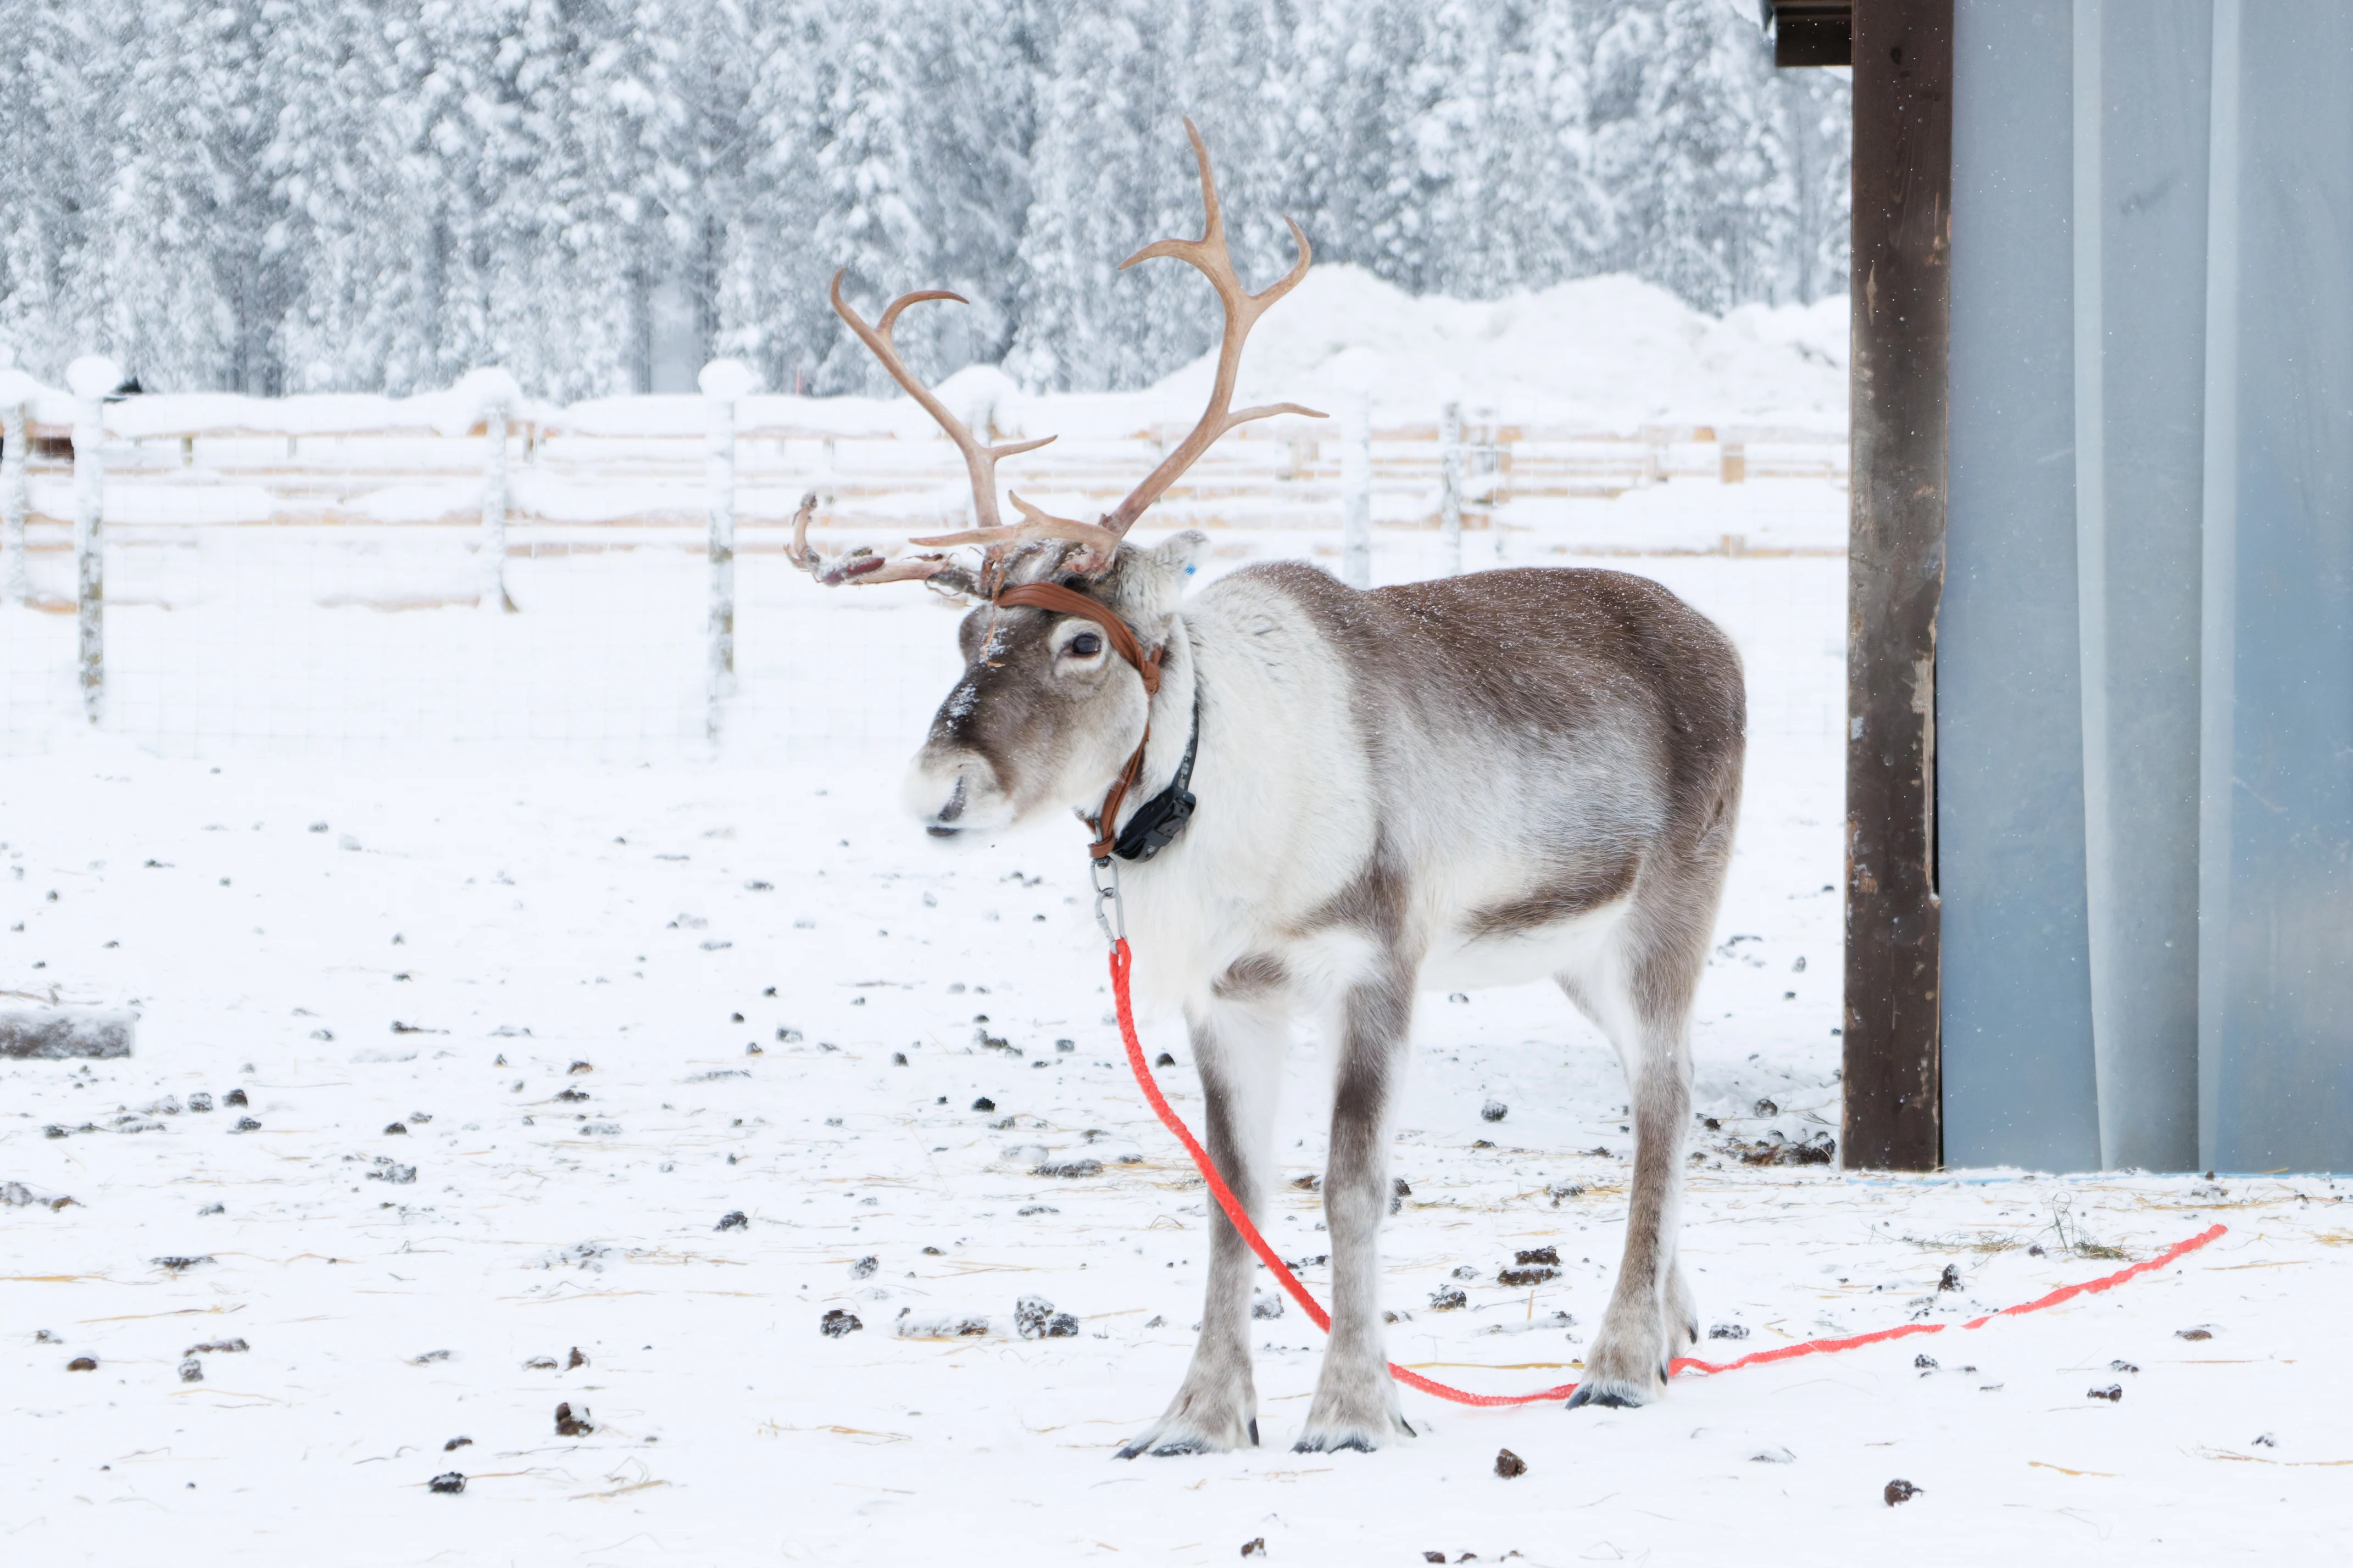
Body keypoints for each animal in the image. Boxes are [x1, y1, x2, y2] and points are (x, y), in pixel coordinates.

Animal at [789, 121, 1746, 1456]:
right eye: (970, 629)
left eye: (1079, 642)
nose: (938, 784)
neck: (1214, 810)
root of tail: (1722, 640)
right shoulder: (1222, 996)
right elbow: (1227, 1193)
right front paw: (1196, 1415)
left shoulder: (1376, 960)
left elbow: (1349, 1182)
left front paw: (1350, 1408)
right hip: (1573, 950)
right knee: (1677, 1085)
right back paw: (1668, 1325)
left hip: (1668, 911)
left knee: (1659, 1101)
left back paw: (1614, 1359)